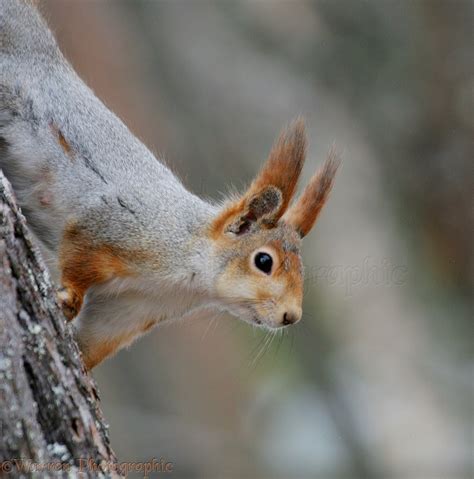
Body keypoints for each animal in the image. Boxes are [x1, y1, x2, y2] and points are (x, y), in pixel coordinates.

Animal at [0, 0, 340, 370]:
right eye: (264, 261)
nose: (292, 316)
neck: (187, 272)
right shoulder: (114, 226)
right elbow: (79, 253)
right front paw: (68, 298)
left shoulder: (132, 310)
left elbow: (92, 344)